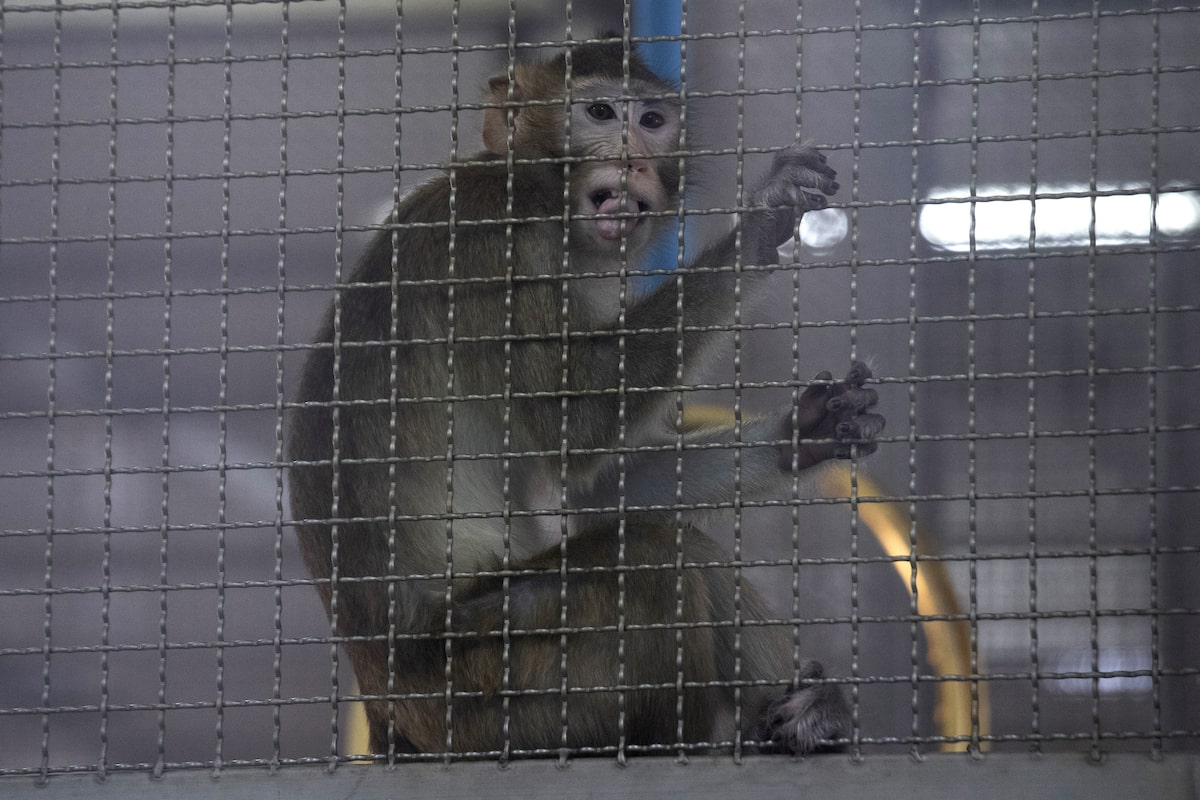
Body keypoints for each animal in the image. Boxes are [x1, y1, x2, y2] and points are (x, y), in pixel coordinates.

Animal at [287, 38, 884, 758]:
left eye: (652, 121)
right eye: (600, 113)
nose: (633, 158)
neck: (537, 193)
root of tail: (387, 707)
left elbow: (595, 493)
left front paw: (807, 430)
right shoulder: (498, 246)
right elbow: (576, 424)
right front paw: (760, 223)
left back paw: (804, 718)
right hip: (488, 685)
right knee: (650, 559)